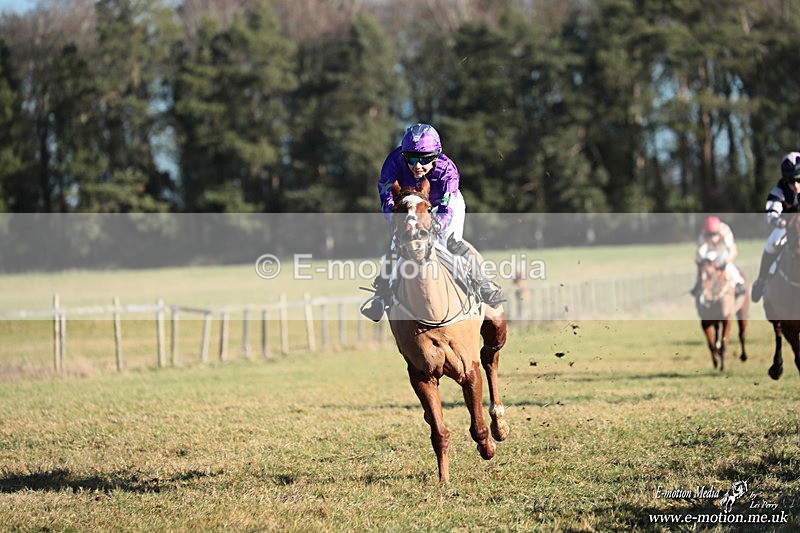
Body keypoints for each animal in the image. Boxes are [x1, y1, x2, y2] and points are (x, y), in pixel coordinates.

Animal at [387, 177, 509, 484]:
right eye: (397, 208)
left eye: (428, 208)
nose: (414, 238)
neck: (433, 310)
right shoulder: (421, 374)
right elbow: (439, 433)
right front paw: (443, 480)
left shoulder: (468, 369)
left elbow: (477, 425)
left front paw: (488, 447)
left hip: (496, 327)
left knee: (490, 358)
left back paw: (500, 423)